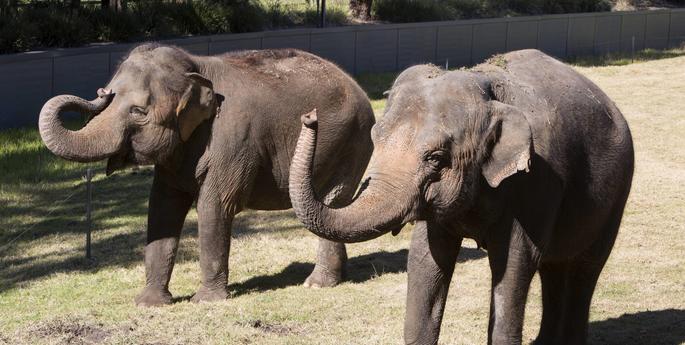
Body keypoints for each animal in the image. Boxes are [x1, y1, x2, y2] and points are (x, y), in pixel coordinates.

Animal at [38, 43, 374, 304]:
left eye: (138, 112)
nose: (101, 92)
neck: (195, 67)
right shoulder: (176, 155)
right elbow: (162, 207)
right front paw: (149, 303)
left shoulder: (234, 139)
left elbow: (215, 205)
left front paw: (206, 301)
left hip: (350, 143)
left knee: (333, 201)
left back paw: (317, 284)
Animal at [288, 49, 632, 344]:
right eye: (375, 138)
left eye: (436, 159)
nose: (310, 116)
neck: (487, 90)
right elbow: (426, 258)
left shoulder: (537, 182)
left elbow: (515, 263)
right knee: (555, 266)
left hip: (618, 192)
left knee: (585, 268)